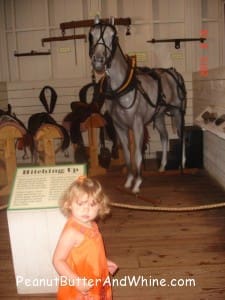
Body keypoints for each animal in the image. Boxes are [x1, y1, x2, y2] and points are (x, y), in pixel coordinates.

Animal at [88, 17, 186, 193]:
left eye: (113, 36)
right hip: (159, 116)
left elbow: (138, 154)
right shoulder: (119, 126)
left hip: (178, 113)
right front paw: (129, 180)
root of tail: (174, 73)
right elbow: (127, 154)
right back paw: (162, 166)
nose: (98, 60)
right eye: (91, 34)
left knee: (182, 136)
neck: (122, 88)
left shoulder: (137, 124)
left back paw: (182, 164)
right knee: (165, 136)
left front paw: (138, 182)